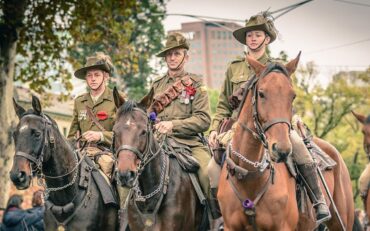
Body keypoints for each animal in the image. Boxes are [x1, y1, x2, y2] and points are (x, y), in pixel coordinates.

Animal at [218, 54, 354, 231]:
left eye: (293, 96)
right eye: (261, 94)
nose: (281, 149)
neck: (250, 175)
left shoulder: (283, 226)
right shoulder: (230, 227)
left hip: (342, 222)